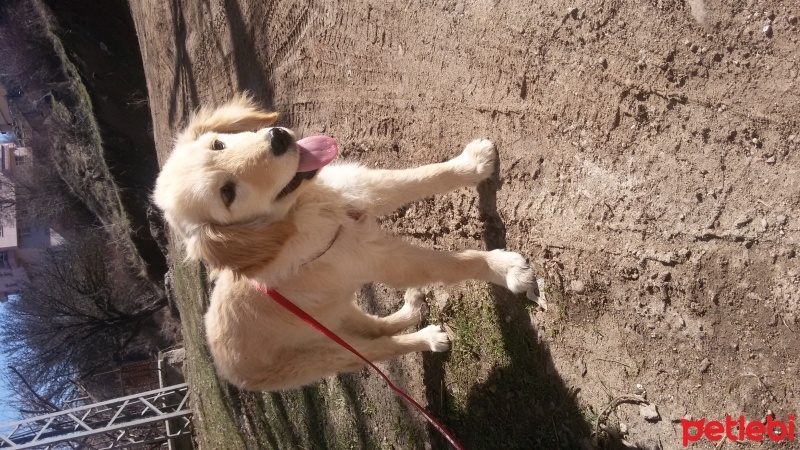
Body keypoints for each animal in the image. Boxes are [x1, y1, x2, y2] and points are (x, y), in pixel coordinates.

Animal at [153, 95, 536, 390]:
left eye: (218, 143)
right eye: (227, 194)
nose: (278, 138)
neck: (304, 210)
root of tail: (223, 365)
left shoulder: (359, 189)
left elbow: (423, 177)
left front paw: (475, 163)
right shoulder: (378, 259)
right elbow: (453, 263)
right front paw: (506, 269)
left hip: (331, 315)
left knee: (373, 326)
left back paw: (411, 312)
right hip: (327, 356)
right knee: (384, 348)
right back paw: (426, 338)